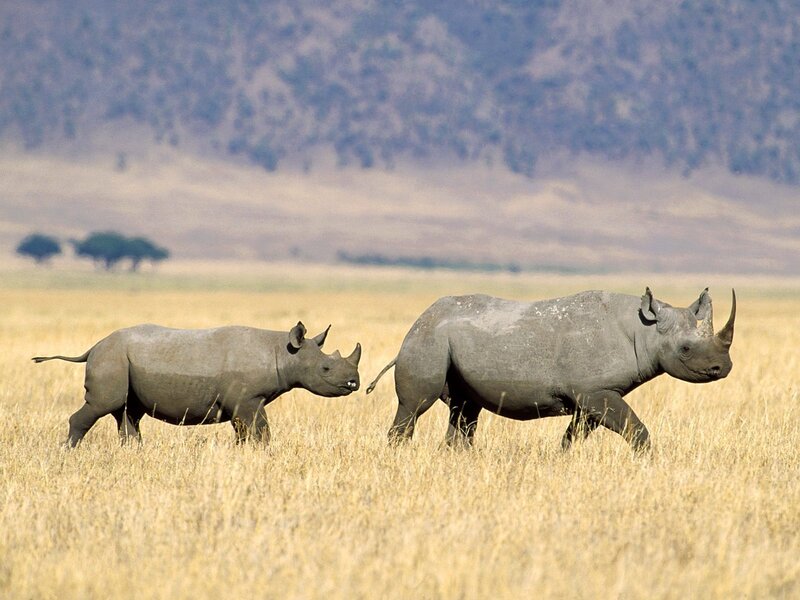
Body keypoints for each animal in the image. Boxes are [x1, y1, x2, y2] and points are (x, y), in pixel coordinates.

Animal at [34, 322, 361, 447]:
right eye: (325, 368)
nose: (353, 383)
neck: (283, 351)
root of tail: (94, 346)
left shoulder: (243, 402)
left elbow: (246, 432)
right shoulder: (248, 399)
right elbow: (260, 430)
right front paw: (263, 452)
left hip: (121, 360)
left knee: (128, 412)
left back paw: (134, 453)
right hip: (110, 359)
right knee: (103, 405)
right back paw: (68, 451)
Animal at [367, 288, 735, 451]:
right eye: (685, 350)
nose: (723, 367)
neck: (644, 330)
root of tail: (419, 320)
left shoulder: (594, 394)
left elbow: (574, 435)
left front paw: (563, 459)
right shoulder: (594, 391)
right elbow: (636, 429)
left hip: (446, 340)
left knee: (465, 408)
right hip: (425, 339)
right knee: (416, 406)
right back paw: (399, 455)